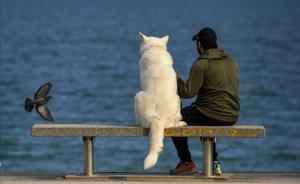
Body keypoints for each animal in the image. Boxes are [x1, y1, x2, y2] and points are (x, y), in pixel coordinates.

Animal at [135, 32, 186, 170]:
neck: (155, 48)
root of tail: (157, 118)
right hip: (176, 98)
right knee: (172, 123)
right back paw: (180, 123)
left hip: (138, 96)